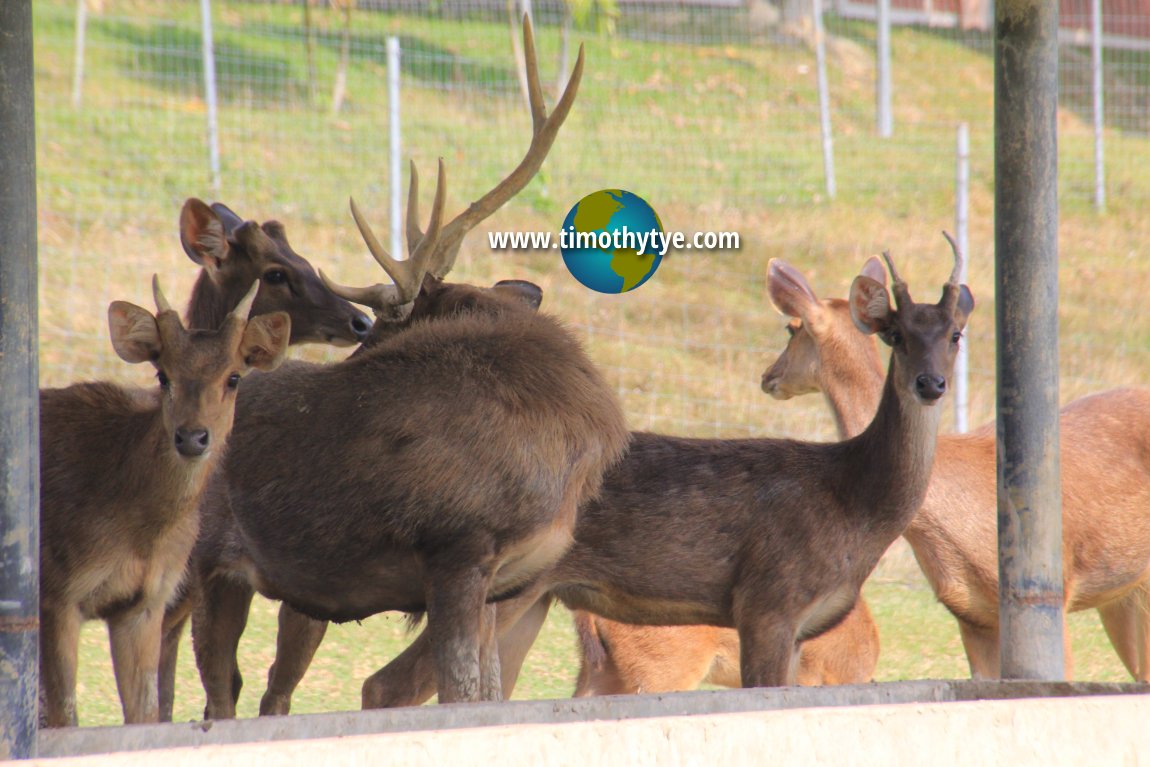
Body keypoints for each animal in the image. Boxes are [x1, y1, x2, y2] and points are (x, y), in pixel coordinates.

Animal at [40, 279, 292, 731]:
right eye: (163, 374)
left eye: (234, 377)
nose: (192, 437)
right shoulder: (57, 593)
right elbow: (65, 718)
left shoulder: (146, 603)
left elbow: (144, 715)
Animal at [354, 235, 975, 708]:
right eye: (896, 335)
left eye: (956, 334)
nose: (931, 384)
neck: (853, 502)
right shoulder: (768, 598)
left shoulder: (801, 627)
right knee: (389, 685)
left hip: (530, 596)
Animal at [763, 259, 1150, 685]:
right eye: (896, 335)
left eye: (791, 328)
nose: (768, 376)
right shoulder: (971, 614)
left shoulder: (1052, 593)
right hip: (1125, 594)